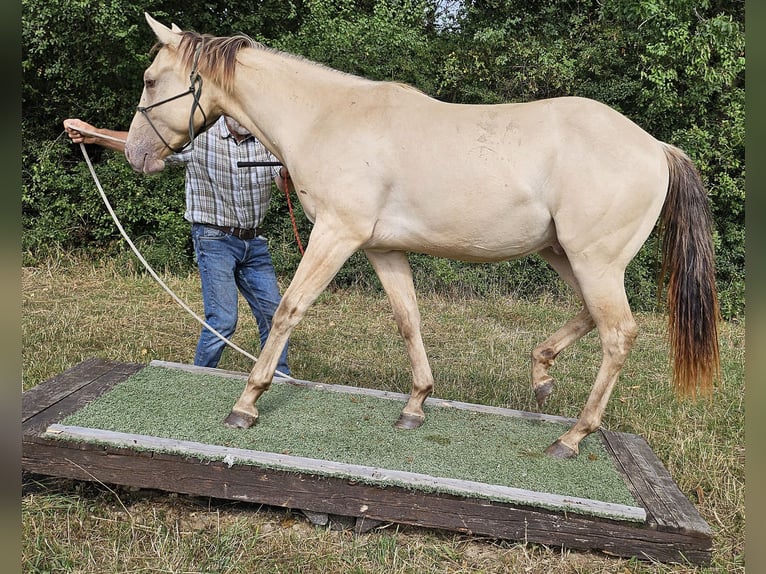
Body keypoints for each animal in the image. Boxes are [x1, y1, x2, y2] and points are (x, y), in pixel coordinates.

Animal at [124, 13, 720, 462]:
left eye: (151, 79)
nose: (134, 155)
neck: (326, 118)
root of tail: (656, 147)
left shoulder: (336, 234)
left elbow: (289, 309)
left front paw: (246, 403)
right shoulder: (383, 247)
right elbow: (408, 319)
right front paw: (415, 405)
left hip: (593, 262)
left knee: (618, 333)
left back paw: (571, 437)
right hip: (568, 257)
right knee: (597, 320)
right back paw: (542, 374)